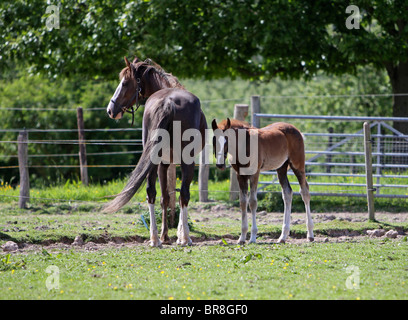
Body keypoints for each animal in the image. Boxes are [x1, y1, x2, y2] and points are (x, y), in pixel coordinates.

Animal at [105, 57, 207, 248]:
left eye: (124, 83)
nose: (110, 110)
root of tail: (168, 102)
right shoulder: (170, 163)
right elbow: (173, 196)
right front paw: (176, 235)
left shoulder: (163, 163)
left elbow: (165, 197)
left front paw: (165, 236)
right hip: (183, 161)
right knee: (183, 194)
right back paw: (185, 238)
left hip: (153, 159)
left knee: (151, 192)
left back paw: (154, 239)